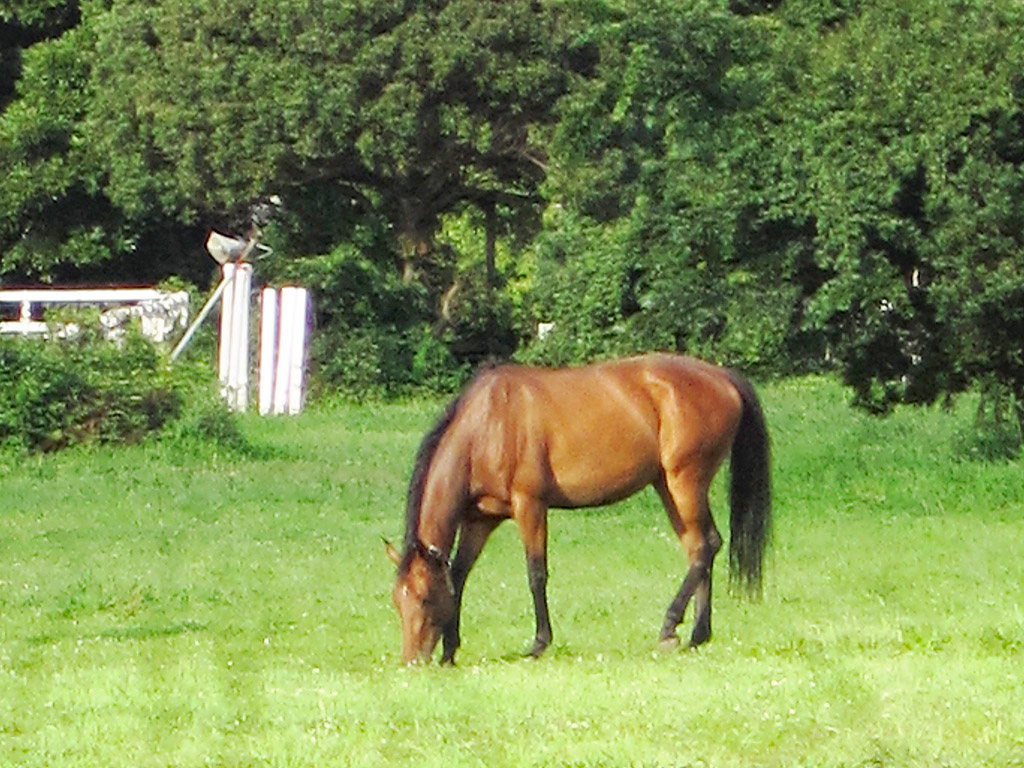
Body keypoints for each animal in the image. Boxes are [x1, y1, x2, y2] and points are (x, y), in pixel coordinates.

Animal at [385, 358, 770, 663]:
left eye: (423, 599)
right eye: (396, 601)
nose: (411, 662)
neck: (487, 425)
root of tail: (721, 375)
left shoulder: (530, 506)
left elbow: (536, 574)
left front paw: (539, 643)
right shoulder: (480, 520)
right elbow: (459, 577)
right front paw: (450, 650)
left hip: (684, 483)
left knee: (706, 546)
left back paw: (670, 625)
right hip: (668, 486)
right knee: (699, 548)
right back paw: (696, 634)